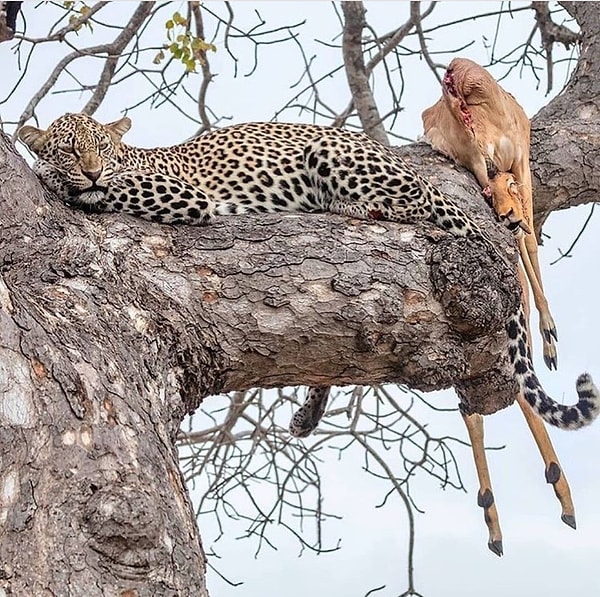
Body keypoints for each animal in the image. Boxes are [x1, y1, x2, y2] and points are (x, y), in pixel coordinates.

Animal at [17, 113, 600, 438]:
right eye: (71, 147)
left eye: (102, 148)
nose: (91, 169)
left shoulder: (182, 193)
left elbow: (110, 189)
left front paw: (61, 178)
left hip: (337, 156)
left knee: (405, 206)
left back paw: (359, 207)